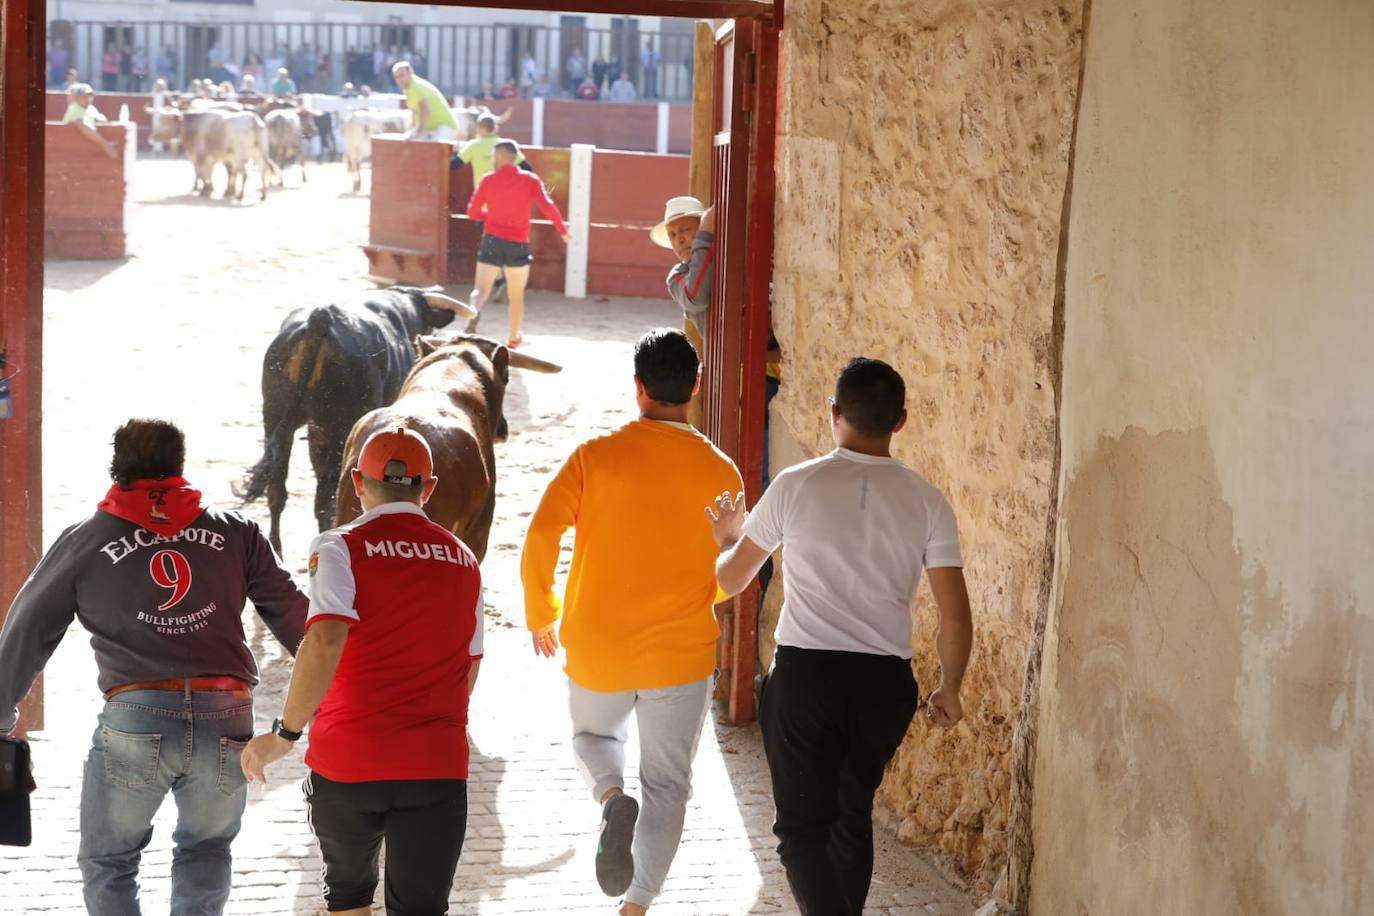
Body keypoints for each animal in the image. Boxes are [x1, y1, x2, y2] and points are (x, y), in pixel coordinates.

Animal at [233, 287, 475, 554]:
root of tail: (321, 320)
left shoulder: (316, 432)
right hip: (339, 426)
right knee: (323, 497)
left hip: (274, 416)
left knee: (278, 490)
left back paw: (277, 549)